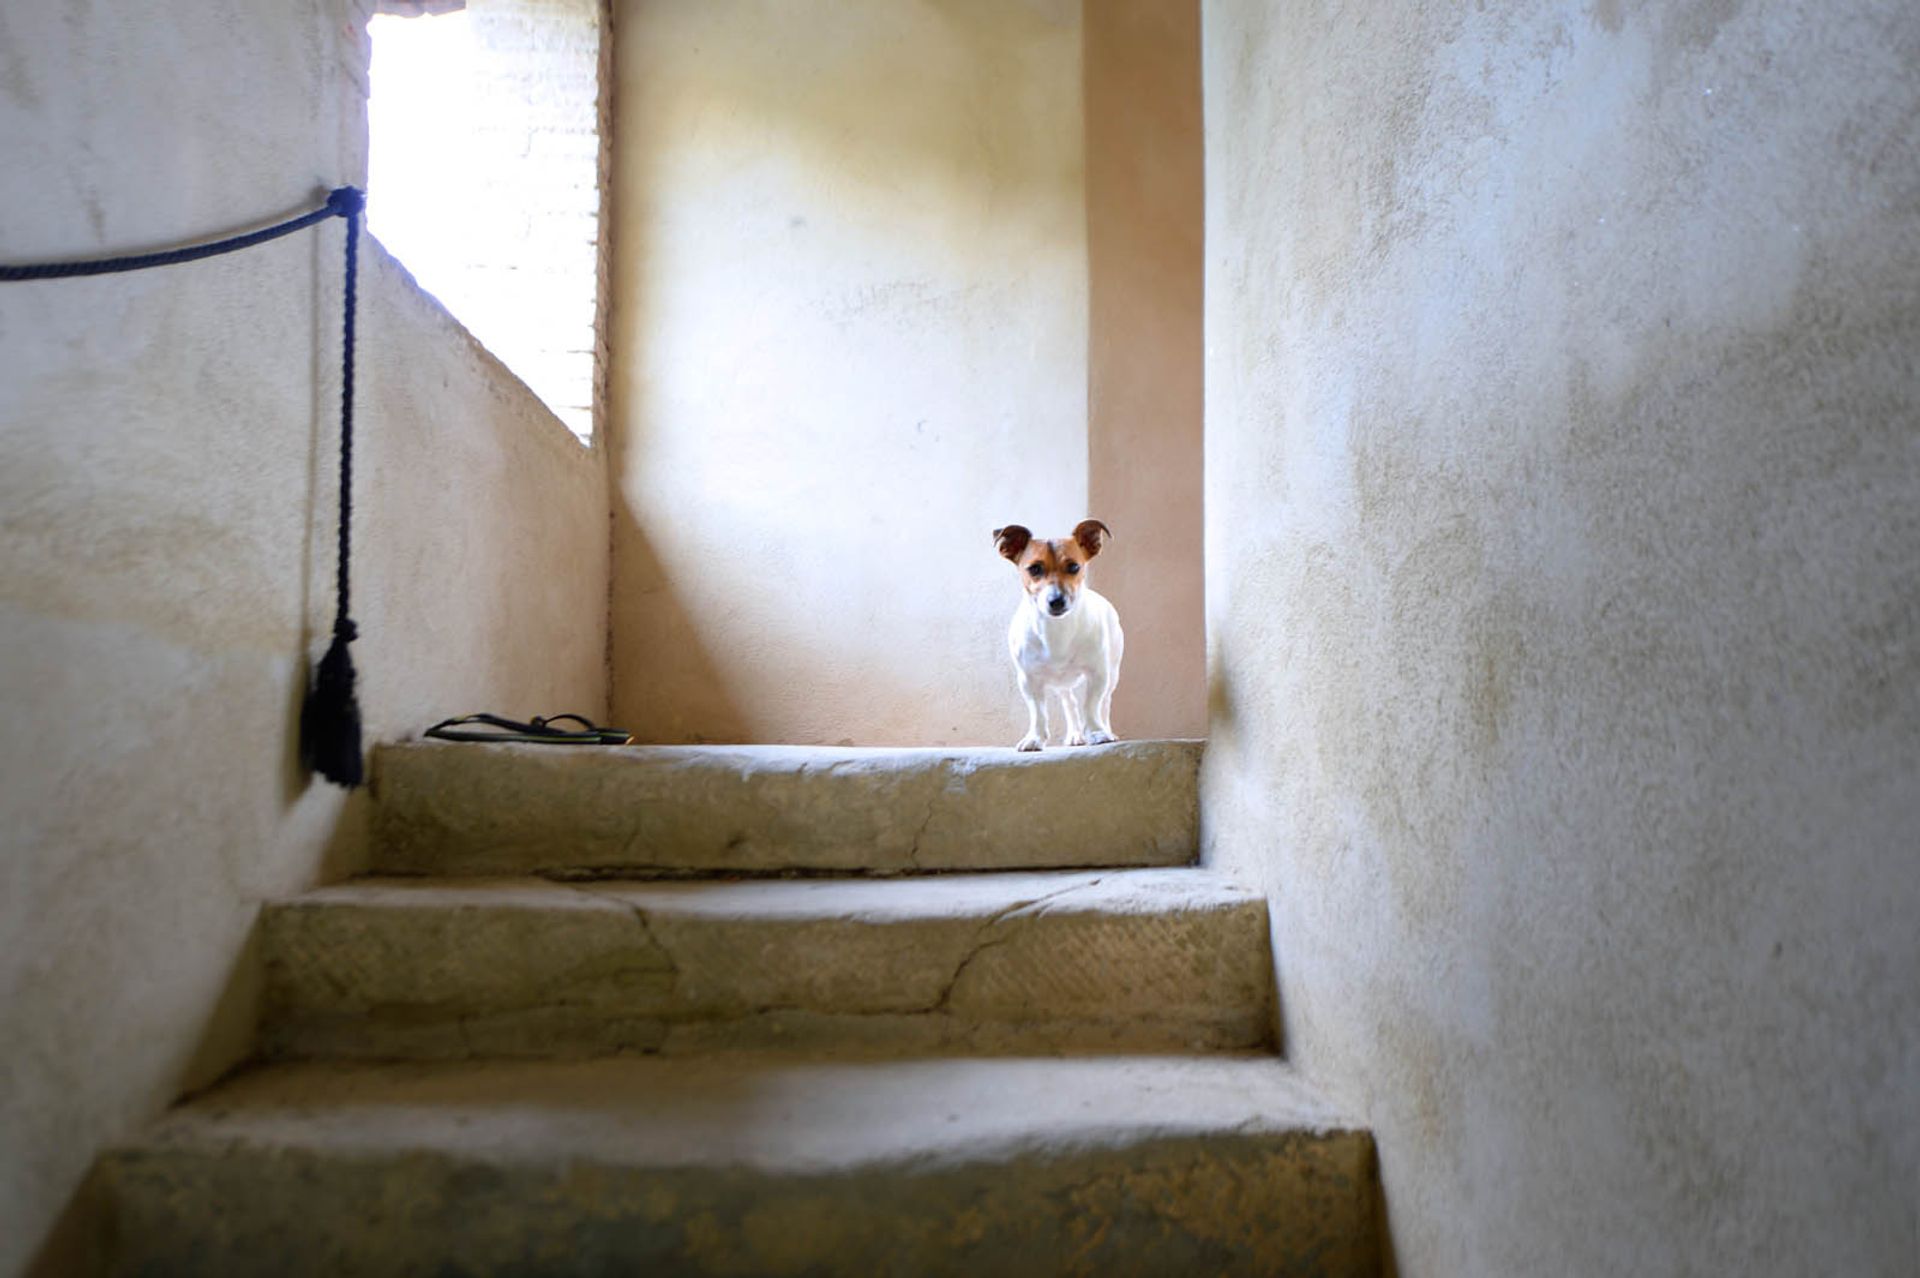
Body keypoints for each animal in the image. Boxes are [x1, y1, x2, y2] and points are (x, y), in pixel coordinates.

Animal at [998, 514, 1121, 748]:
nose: (1056, 600)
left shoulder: (1098, 674)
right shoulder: (1028, 680)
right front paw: (1035, 738)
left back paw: (1106, 729)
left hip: (1112, 673)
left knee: (1105, 704)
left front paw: (1096, 732)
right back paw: (1075, 735)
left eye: (1073, 567)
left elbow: (1091, 706)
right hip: (1062, 683)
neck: (1057, 631)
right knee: (1069, 702)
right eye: (1034, 569)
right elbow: (1038, 712)